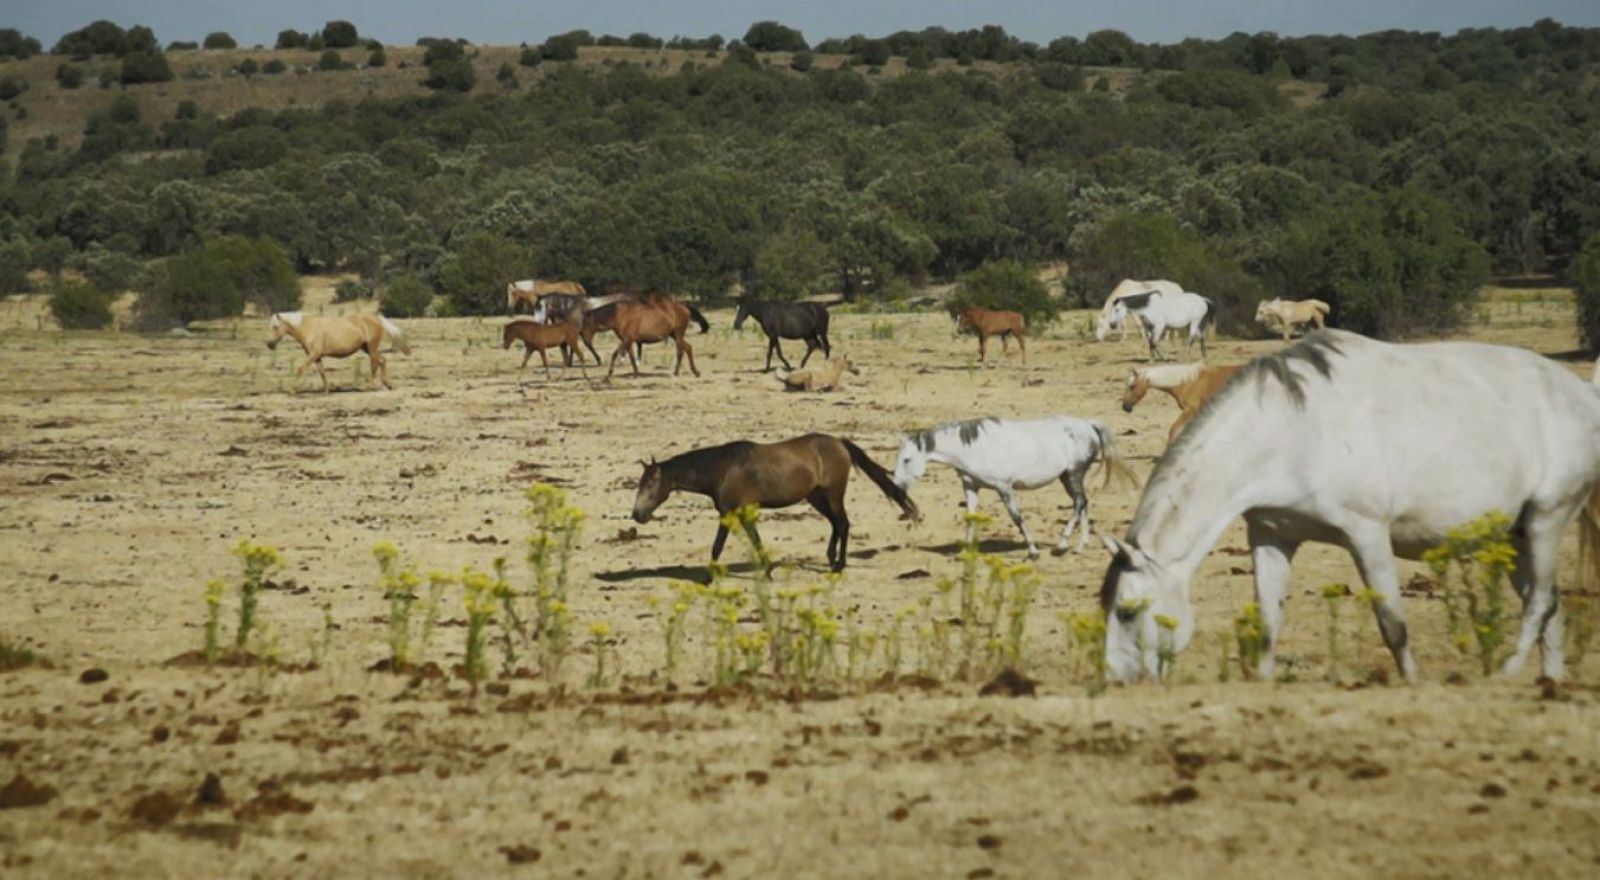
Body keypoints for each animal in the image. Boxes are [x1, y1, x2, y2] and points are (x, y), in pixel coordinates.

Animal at [268, 310, 409, 393]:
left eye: (275, 327)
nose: (269, 344)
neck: (308, 327)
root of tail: (376, 318)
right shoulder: (316, 356)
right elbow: (322, 372)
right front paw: (326, 391)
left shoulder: (313, 354)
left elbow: (301, 369)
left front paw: (293, 390)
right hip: (367, 348)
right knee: (381, 361)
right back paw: (387, 385)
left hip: (372, 348)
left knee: (376, 363)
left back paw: (371, 386)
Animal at [630, 432, 921, 572]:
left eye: (650, 485)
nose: (637, 514)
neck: (722, 469)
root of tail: (839, 443)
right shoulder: (737, 513)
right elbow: (742, 543)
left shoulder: (733, 512)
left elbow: (722, 546)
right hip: (816, 497)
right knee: (836, 525)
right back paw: (831, 559)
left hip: (833, 494)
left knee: (844, 524)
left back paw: (839, 565)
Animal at [889, 419, 1139, 560]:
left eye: (907, 459)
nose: (897, 487)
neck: (973, 448)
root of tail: (1090, 425)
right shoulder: (970, 486)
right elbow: (970, 517)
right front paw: (965, 551)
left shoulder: (1004, 488)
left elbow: (1017, 518)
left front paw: (1033, 551)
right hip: (1067, 477)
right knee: (1083, 503)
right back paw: (1078, 547)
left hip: (1074, 474)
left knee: (1079, 503)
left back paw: (1061, 546)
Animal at [1100, 331, 1600, 681]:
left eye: (1126, 611)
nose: (1118, 679)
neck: (1286, 430)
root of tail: (1583, 395)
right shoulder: (1271, 535)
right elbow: (1269, 622)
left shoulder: (1368, 535)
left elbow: (1393, 623)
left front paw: (1411, 682)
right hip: (1517, 536)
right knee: (1548, 606)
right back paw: (1548, 683)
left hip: (1547, 520)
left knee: (1539, 604)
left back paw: (1506, 672)